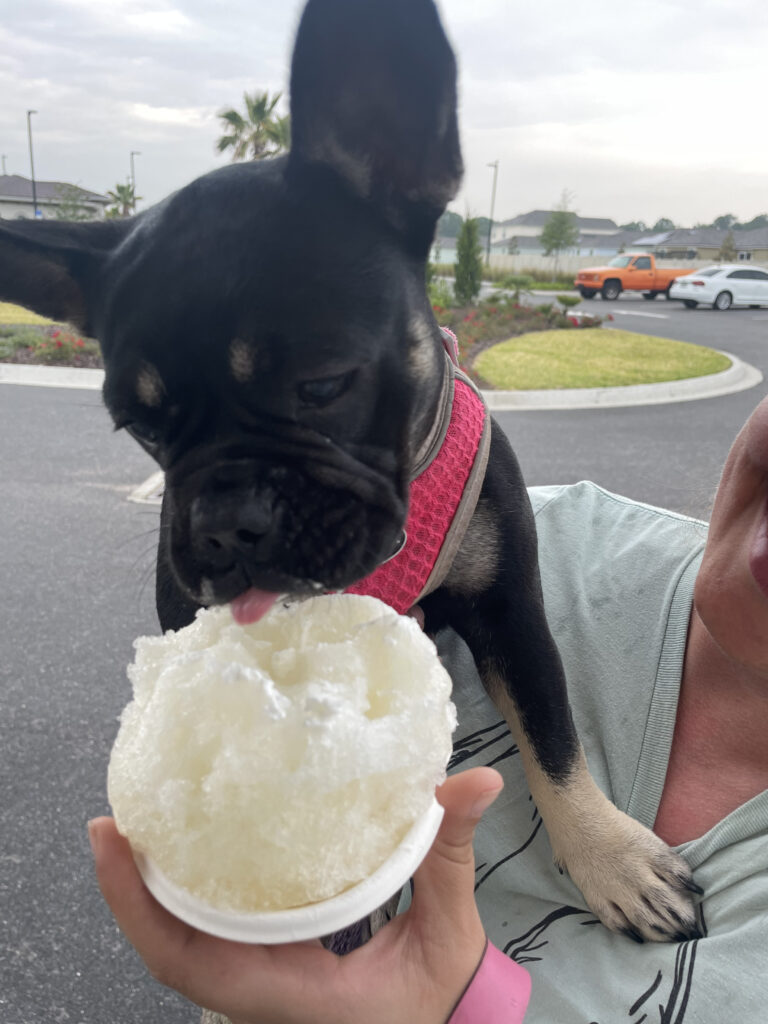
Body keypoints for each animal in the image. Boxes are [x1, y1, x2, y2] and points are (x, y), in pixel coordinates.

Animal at [0, 0, 700, 946]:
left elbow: (554, 736)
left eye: (323, 385)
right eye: (139, 427)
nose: (221, 523)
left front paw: (613, 858)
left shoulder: (511, 611)